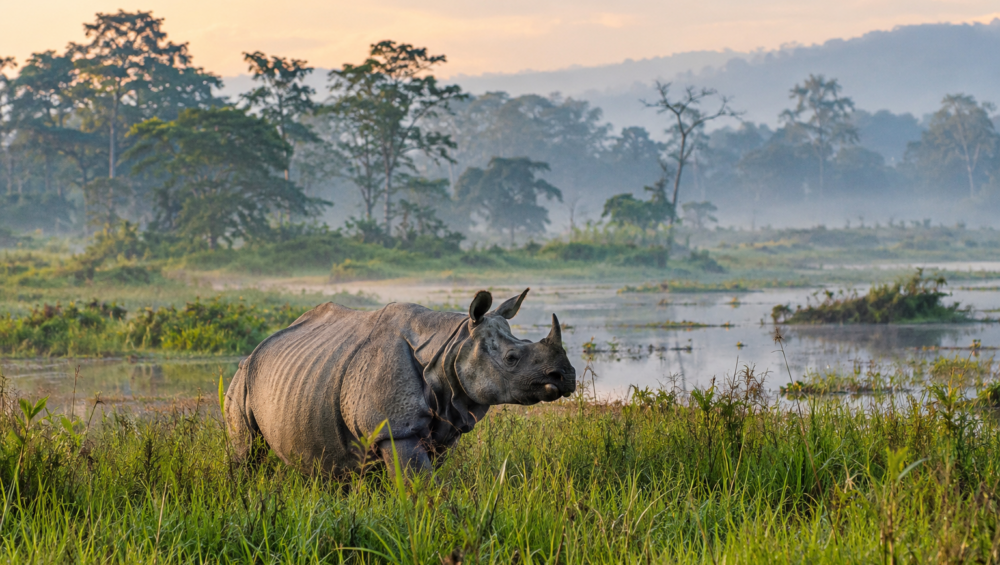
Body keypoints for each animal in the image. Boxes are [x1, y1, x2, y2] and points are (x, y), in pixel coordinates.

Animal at [224, 288, 576, 475]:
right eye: (512, 358)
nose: (566, 377)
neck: (451, 345)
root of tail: (254, 351)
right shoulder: (394, 429)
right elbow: (421, 485)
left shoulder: (446, 423)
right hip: (242, 379)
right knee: (247, 452)